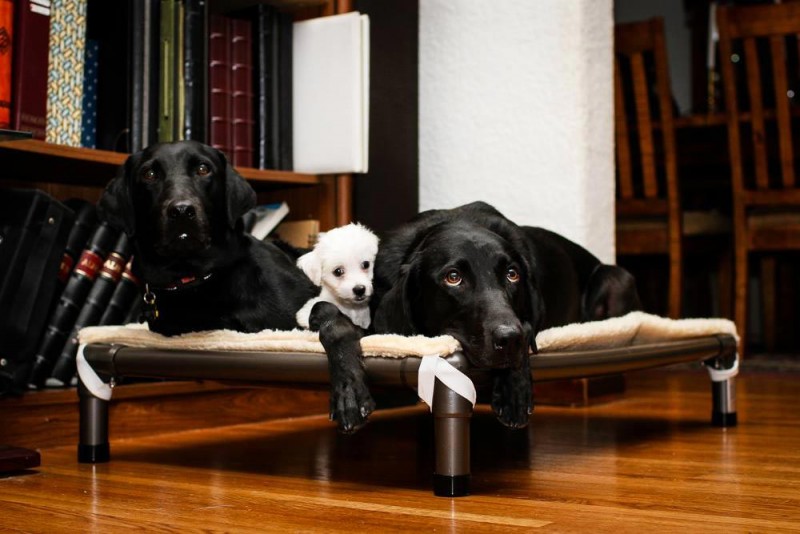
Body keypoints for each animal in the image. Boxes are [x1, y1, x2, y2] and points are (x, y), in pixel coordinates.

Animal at [310, 203, 640, 434]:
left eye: (512, 274)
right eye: (453, 277)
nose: (509, 339)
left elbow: (528, 326)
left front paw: (514, 387)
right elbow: (327, 314)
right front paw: (349, 392)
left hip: (617, 278)